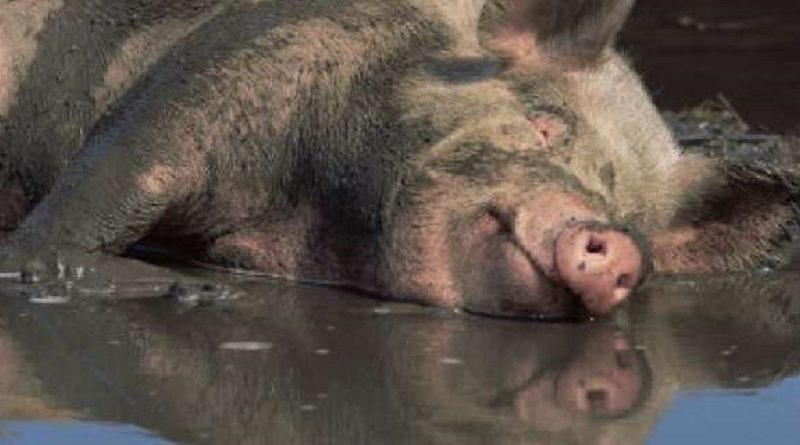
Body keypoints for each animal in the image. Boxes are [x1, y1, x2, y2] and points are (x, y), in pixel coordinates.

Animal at [0, 0, 798, 320]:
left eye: (633, 211)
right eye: (544, 126)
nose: (618, 241)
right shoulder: (213, 77)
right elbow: (68, 224)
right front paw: (195, 291)